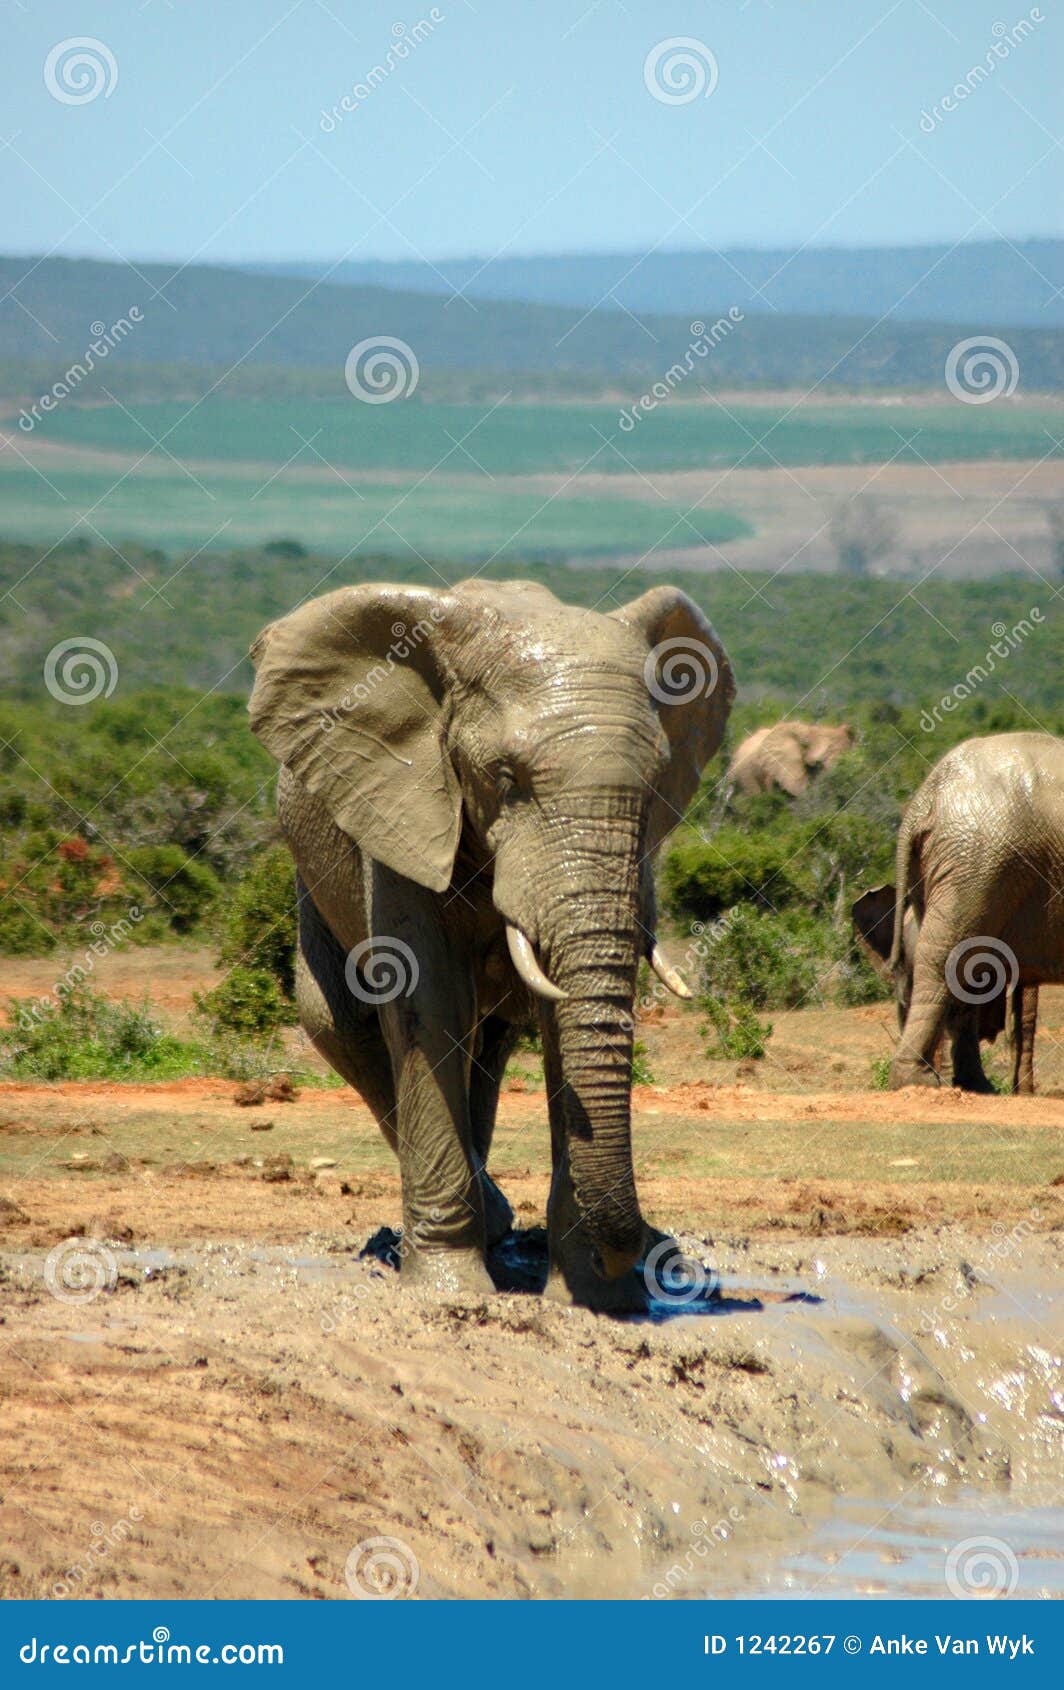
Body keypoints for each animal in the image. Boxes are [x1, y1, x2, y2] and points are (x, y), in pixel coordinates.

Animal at [249, 577, 732, 1304]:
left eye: (655, 786)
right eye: (505, 778)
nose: (629, 1261)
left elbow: (561, 1020)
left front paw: (593, 1297)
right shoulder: (401, 801)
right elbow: (424, 999)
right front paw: (450, 1290)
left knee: (491, 1041)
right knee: (339, 1024)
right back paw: (487, 1218)